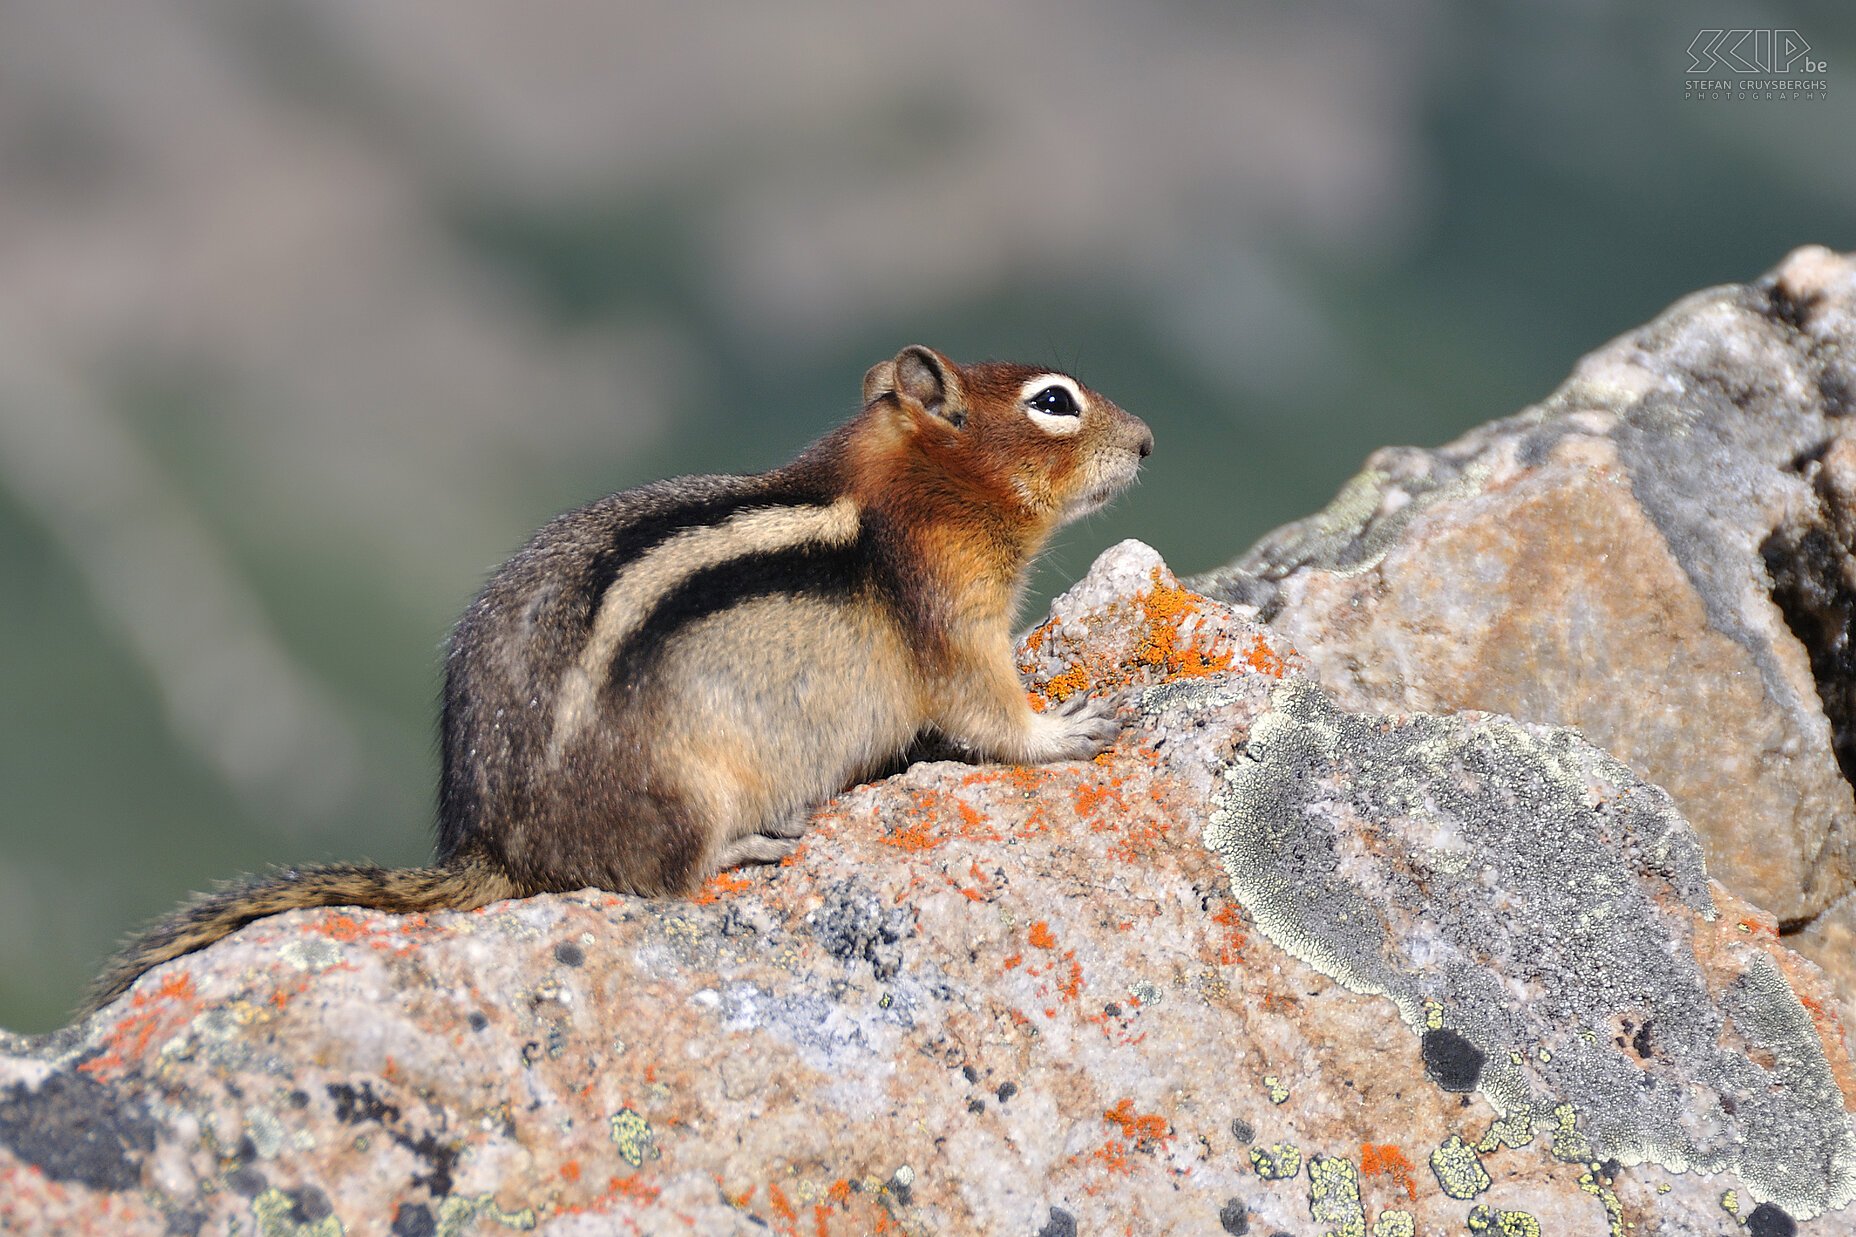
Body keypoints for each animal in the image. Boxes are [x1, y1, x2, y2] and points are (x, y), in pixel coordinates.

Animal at [90, 341, 1158, 1010]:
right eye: (1053, 401)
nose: (1149, 440)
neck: (911, 485)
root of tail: (490, 843)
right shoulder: (950, 613)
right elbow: (988, 710)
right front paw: (1075, 726)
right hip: (681, 789)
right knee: (661, 876)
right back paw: (745, 847)